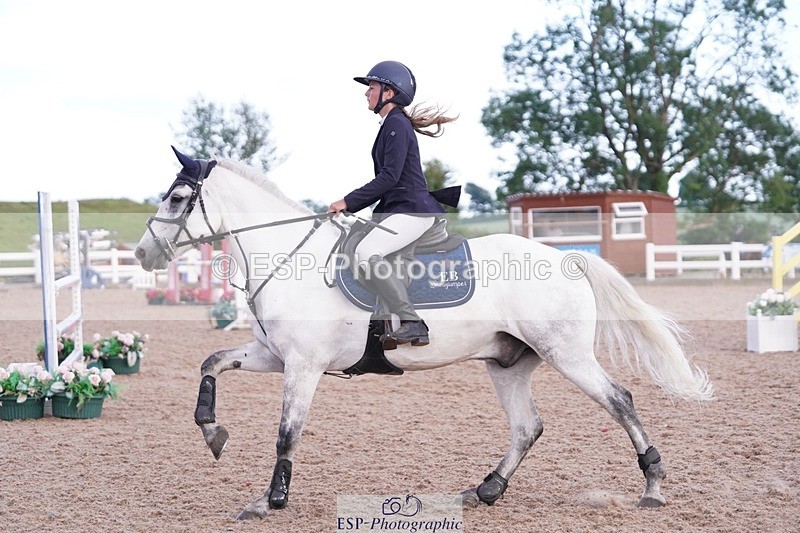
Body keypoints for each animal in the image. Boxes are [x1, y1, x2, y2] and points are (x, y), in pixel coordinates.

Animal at [134, 149, 713, 520]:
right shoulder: (270, 355)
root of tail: (567, 258)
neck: (291, 259)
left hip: (566, 353)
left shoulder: (302, 365)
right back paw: (486, 490)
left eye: (178, 198)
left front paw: (269, 501)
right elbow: (211, 361)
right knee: (527, 427)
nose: (142, 254)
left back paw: (653, 486)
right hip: (508, 363)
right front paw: (213, 432)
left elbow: (286, 433)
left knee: (619, 400)